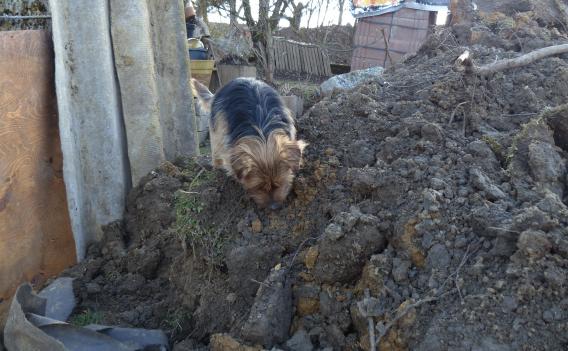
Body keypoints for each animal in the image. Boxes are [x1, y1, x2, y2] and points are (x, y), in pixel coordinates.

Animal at [191, 77, 306, 209]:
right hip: (216, 126)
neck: (262, 131)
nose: (274, 207)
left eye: (280, 183)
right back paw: (217, 166)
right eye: (258, 187)